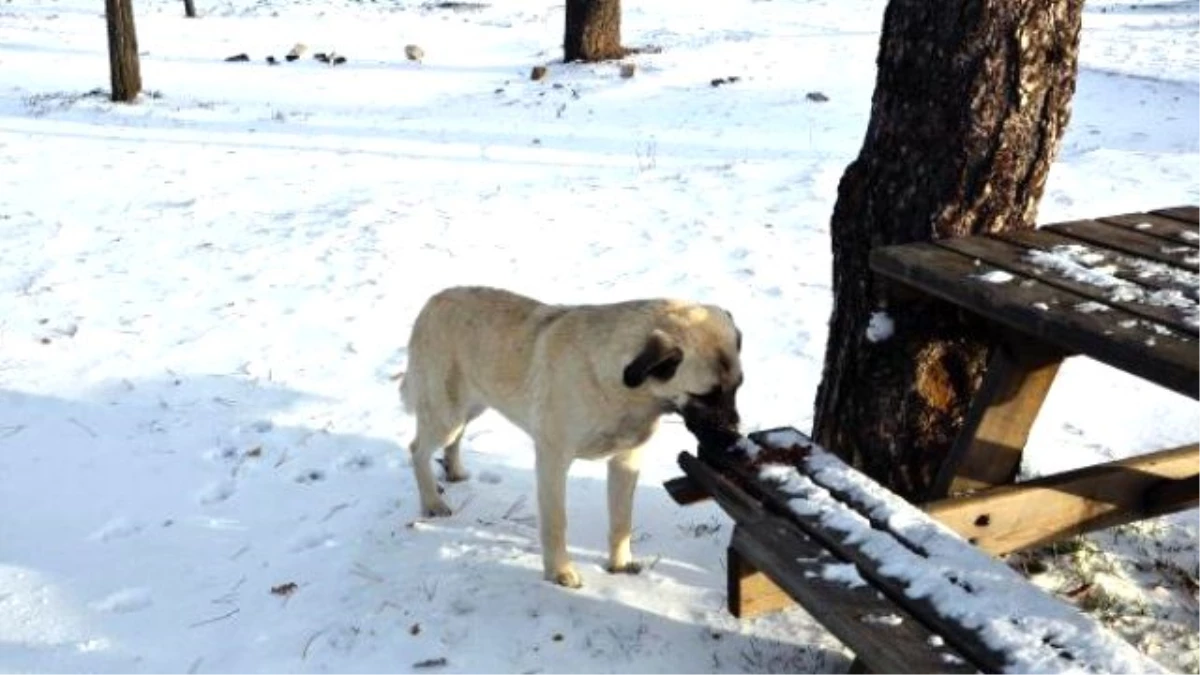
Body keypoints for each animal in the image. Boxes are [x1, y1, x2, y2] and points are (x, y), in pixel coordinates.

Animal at [403, 283, 739, 583]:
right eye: (706, 396)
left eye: (737, 387)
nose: (733, 437)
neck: (624, 388)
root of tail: (432, 302)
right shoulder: (553, 459)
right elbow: (556, 522)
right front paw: (559, 573)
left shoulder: (625, 462)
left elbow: (622, 521)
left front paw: (619, 565)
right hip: (446, 414)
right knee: (417, 449)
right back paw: (432, 502)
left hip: (469, 407)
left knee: (453, 440)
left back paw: (455, 472)